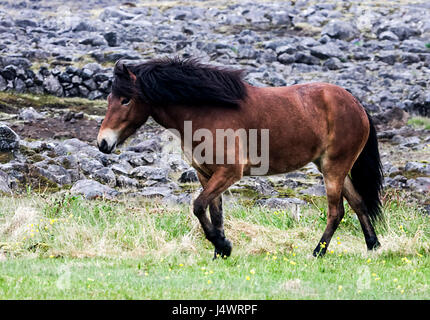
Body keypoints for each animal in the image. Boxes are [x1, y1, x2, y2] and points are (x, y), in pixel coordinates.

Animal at [97, 57, 382, 258]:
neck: (206, 112)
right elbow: (214, 213)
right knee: (358, 203)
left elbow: (198, 206)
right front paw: (220, 252)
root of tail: (356, 104)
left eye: (125, 100)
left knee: (337, 211)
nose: (103, 143)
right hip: (330, 166)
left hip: (335, 168)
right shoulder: (206, 174)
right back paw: (373, 246)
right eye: (110, 98)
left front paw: (224, 245)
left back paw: (318, 252)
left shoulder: (229, 172)